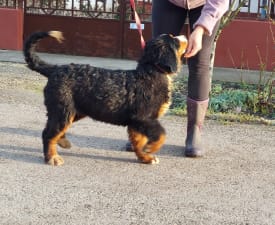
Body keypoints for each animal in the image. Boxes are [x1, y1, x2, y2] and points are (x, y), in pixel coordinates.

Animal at [24, 30, 188, 165]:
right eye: (174, 39)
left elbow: (138, 142)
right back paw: (52, 157)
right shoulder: (144, 118)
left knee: (55, 130)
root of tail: (55, 69)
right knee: (48, 134)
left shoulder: (137, 122)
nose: (186, 36)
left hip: (74, 111)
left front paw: (145, 157)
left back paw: (62, 142)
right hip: (63, 110)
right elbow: (161, 134)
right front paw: (150, 149)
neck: (152, 72)